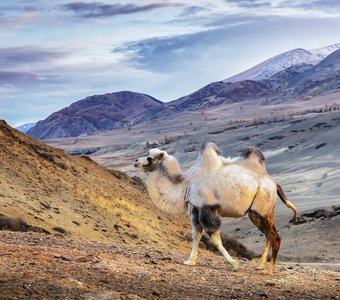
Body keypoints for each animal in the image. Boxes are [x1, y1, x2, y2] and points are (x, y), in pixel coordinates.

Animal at [133, 144, 298, 276]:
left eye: (149, 158)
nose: (135, 161)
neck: (185, 185)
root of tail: (274, 183)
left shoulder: (208, 208)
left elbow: (215, 239)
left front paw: (234, 264)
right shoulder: (196, 208)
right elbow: (196, 235)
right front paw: (190, 261)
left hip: (260, 209)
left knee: (274, 237)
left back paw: (268, 271)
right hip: (266, 211)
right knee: (270, 235)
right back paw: (260, 266)